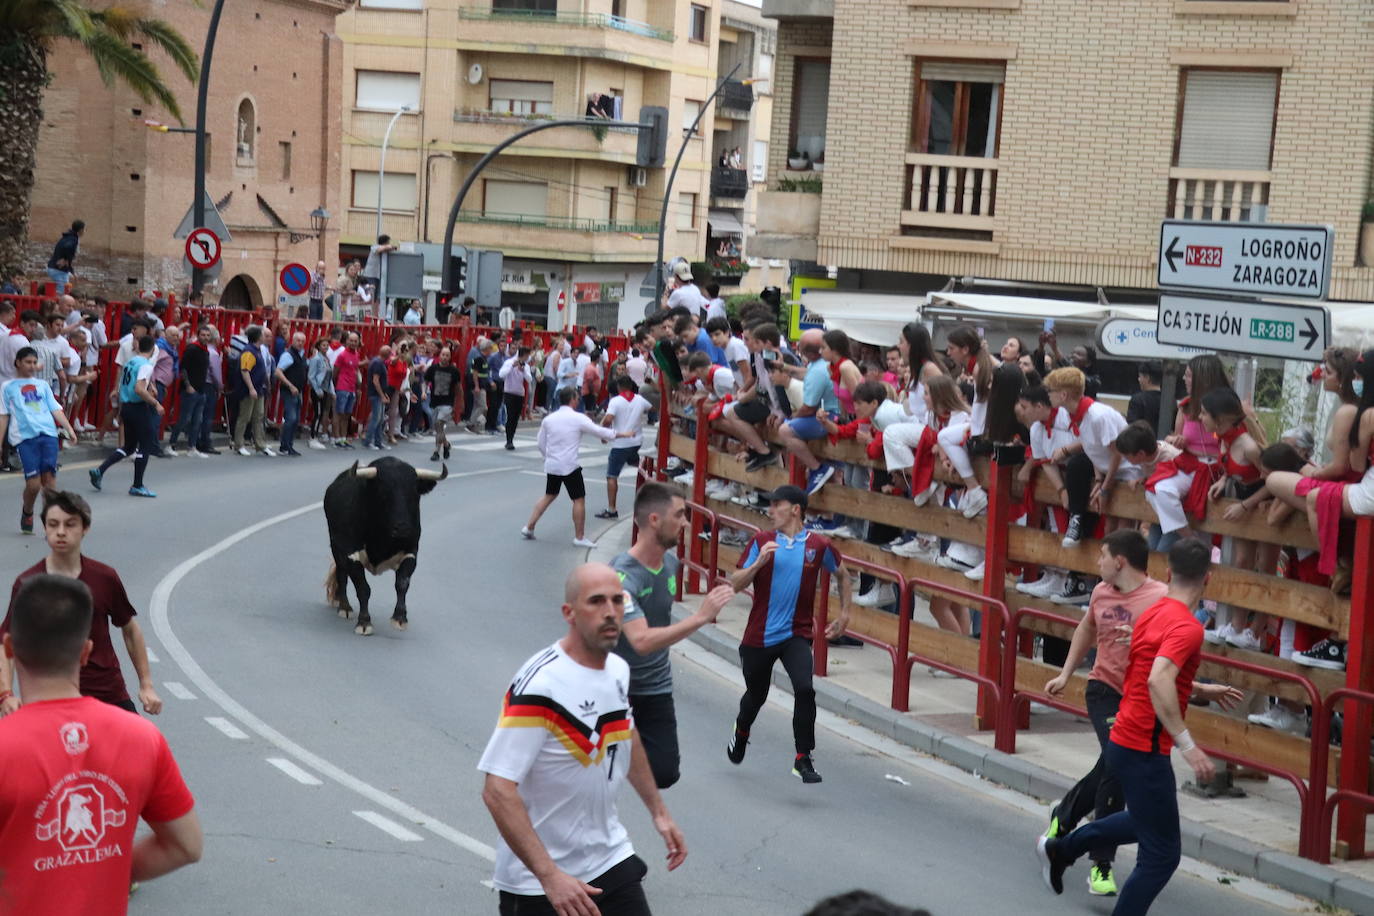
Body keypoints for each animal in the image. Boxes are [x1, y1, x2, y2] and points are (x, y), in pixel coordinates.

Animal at [321, 458, 445, 637]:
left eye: (413, 493)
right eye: (384, 492)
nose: (403, 528)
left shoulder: (411, 553)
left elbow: (402, 583)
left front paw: (400, 618)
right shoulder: (351, 554)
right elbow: (363, 588)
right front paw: (364, 622)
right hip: (336, 548)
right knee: (341, 575)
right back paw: (345, 607)